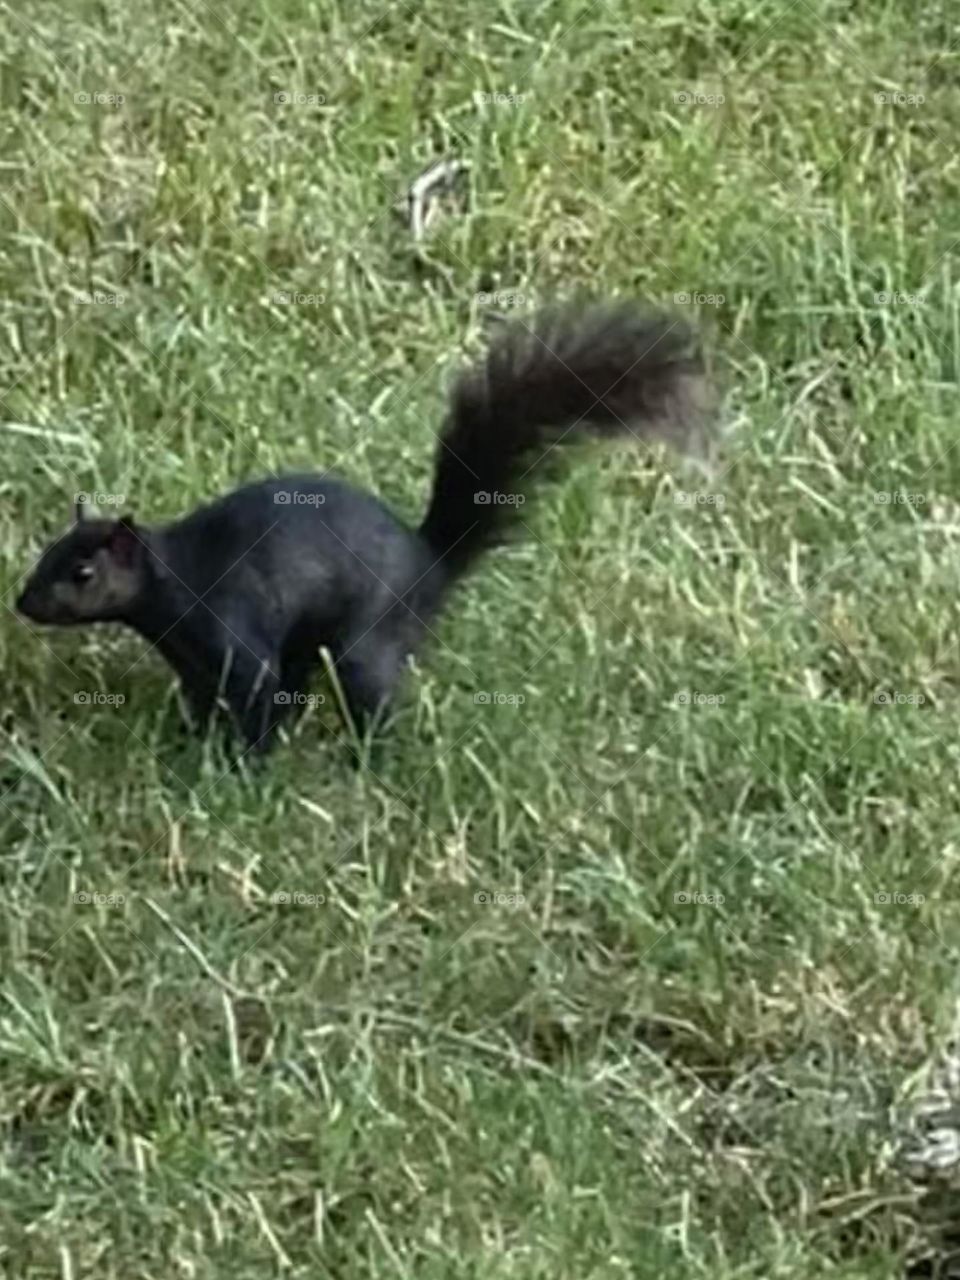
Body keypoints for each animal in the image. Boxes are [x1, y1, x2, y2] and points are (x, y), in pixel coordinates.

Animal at [16, 300, 715, 754]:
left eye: (83, 572)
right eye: (48, 552)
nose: (23, 604)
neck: (175, 581)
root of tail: (429, 564)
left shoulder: (233, 632)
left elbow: (254, 692)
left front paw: (242, 763)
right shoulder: (194, 658)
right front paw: (193, 738)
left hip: (365, 642)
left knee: (363, 692)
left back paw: (366, 758)